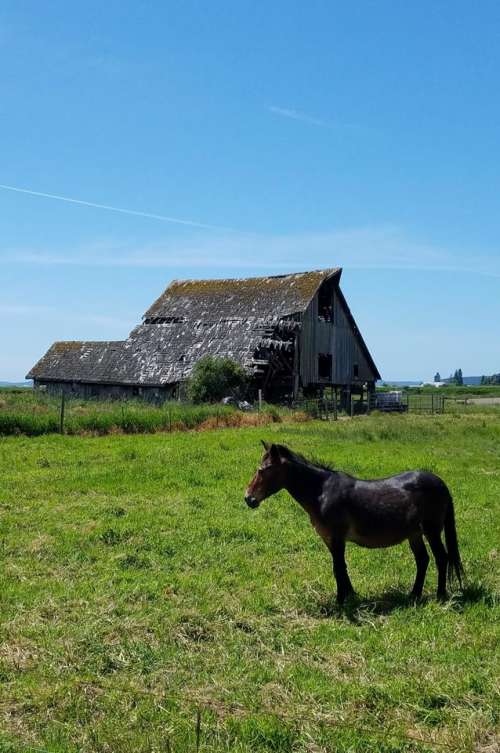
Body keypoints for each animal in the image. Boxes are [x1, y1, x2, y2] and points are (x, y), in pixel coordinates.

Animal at [246, 444, 464, 604]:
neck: (322, 492)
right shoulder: (329, 539)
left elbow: (338, 567)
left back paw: (440, 596)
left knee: (441, 558)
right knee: (423, 560)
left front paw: (341, 600)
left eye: (263, 470)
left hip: (431, 530)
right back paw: (414, 595)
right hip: (414, 534)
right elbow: (340, 567)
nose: (248, 499)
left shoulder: (337, 538)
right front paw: (350, 595)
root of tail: (440, 483)